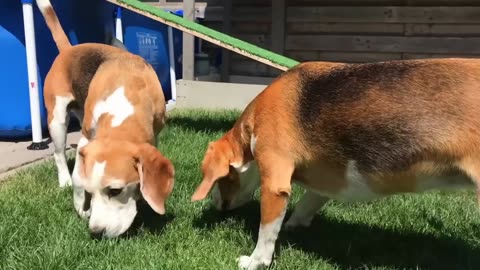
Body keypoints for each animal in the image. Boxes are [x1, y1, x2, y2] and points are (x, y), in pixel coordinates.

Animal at [36, 0, 174, 237]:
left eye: (115, 190)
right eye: (90, 191)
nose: (96, 232)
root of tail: (69, 49)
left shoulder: (154, 135)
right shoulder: (86, 139)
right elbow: (78, 178)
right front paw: (81, 207)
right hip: (57, 120)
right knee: (58, 154)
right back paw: (63, 179)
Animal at [191, 58, 480, 268]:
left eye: (221, 180)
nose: (215, 204)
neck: (251, 125)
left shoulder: (274, 184)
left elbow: (266, 232)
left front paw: (255, 261)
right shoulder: (329, 177)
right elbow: (309, 202)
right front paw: (295, 225)